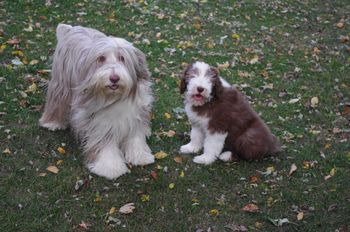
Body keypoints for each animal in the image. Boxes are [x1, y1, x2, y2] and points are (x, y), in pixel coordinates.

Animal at [39, 24, 154, 179]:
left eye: (122, 58)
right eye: (101, 58)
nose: (114, 78)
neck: (115, 97)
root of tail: (72, 28)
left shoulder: (136, 113)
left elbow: (135, 135)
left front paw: (140, 156)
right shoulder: (100, 121)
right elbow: (105, 144)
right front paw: (110, 167)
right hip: (62, 83)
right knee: (58, 99)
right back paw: (52, 122)